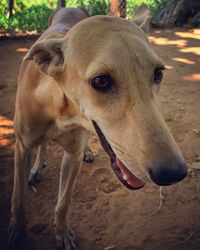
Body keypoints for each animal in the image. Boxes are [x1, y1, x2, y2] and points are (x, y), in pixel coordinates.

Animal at [9, 5, 188, 250]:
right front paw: (17, 234)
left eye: (159, 73)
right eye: (101, 81)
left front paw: (62, 234)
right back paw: (37, 167)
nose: (173, 173)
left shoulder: (72, 156)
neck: (60, 108)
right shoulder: (22, 147)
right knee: (42, 146)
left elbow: (64, 202)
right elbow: (19, 200)